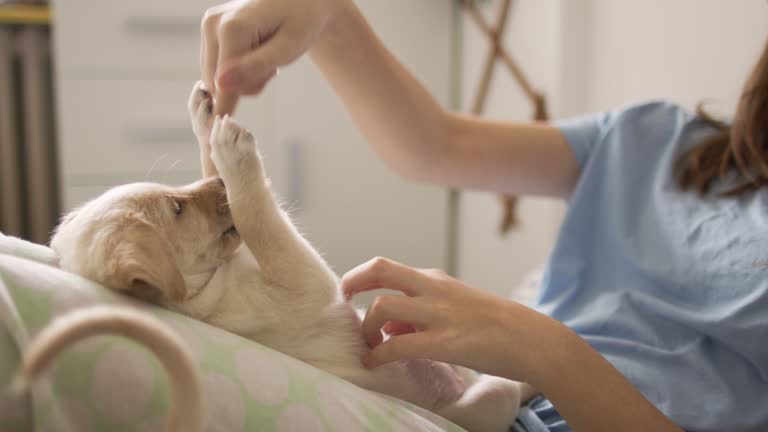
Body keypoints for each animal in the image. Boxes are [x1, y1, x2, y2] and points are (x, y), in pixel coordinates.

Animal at [51, 82, 524, 432]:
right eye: (178, 209)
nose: (218, 186)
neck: (215, 282)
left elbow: (240, 203)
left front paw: (207, 120)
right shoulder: (300, 279)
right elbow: (259, 215)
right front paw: (233, 153)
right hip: (493, 395)